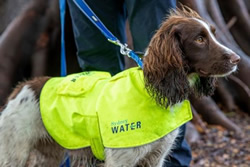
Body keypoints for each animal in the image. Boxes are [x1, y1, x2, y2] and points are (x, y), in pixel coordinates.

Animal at [0, 6, 240, 167]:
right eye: (199, 39)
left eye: (213, 34)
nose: (237, 59)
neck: (152, 93)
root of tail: (20, 88)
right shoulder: (121, 159)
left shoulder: (156, 157)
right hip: (14, 153)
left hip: (48, 153)